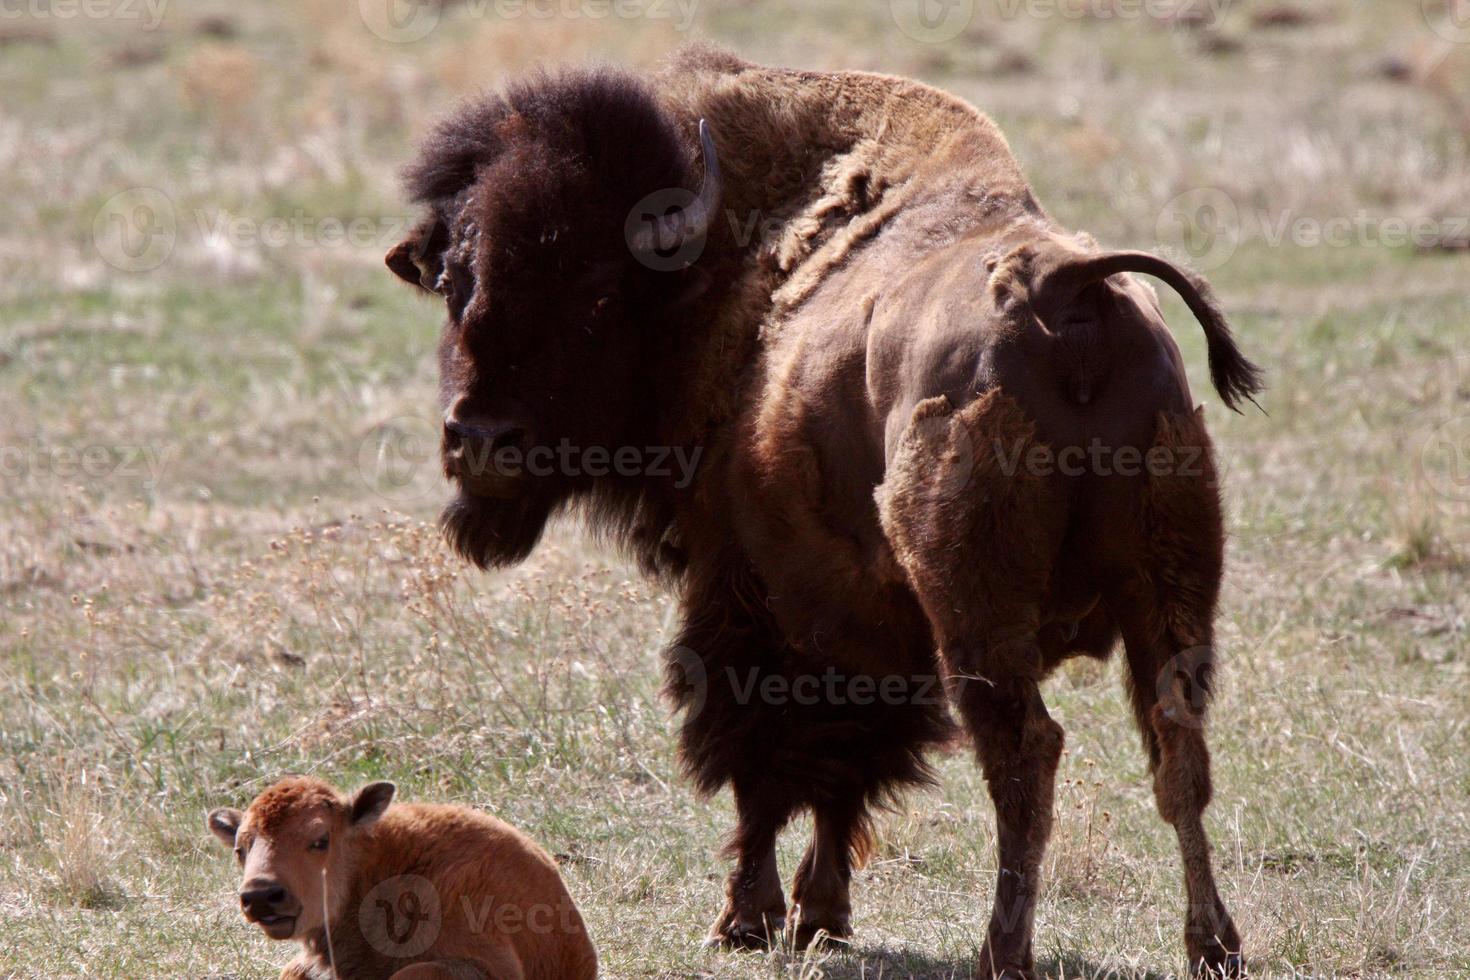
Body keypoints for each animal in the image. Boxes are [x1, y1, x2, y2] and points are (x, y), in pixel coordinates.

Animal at [385, 47, 1258, 980]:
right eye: (455, 282)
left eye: (595, 296)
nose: (480, 440)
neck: (715, 276)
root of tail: (1069, 291)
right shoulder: (868, 631)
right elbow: (843, 766)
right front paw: (819, 914)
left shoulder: (753, 597)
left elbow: (764, 758)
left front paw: (748, 918)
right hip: (1164, 592)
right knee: (1177, 749)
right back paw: (1212, 944)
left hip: (979, 611)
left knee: (1027, 750)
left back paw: (1004, 948)